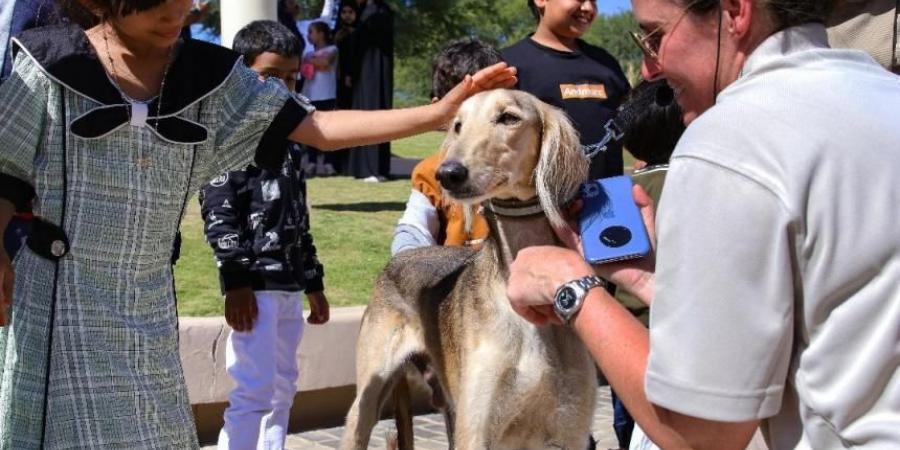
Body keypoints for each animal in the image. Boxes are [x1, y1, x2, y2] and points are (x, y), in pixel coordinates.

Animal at [342, 89, 596, 448]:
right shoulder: (476, 428)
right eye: (458, 125)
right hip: (369, 399)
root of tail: (400, 257)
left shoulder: (569, 432)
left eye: (508, 117)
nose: (448, 173)